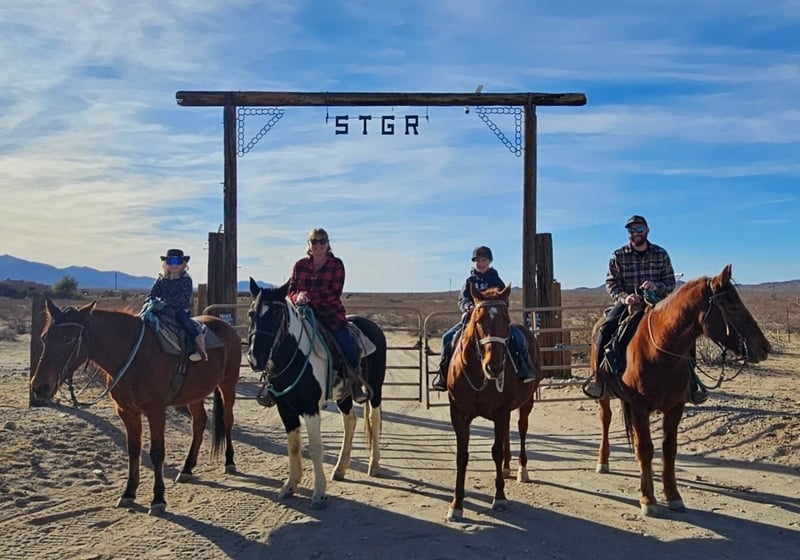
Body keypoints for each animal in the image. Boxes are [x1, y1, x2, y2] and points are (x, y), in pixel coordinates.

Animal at [29, 300, 242, 516]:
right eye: (44, 338)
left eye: (68, 338)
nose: (39, 386)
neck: (135, 357)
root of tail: (226, 327)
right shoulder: (127, 412)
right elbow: (133, 449)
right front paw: (129, 493)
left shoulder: (156, 412)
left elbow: (157, 452)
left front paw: (158, 499)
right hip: (195, 395)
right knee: (199, 423)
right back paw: (187, 469)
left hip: (228, 384)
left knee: (227, 419)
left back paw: (229, 462)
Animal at [248, 278, 390, 510]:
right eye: (252, 313)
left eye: (275, 315)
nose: (255, 359)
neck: (295, 356)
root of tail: (373, 327)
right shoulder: (285, 408)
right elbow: (293, 446)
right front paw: (290, 486)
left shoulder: (310, 407)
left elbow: (315, 448)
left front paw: (319, 494)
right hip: (345, 395)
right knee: (350, 421)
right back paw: (340, 469)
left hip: (376, 389)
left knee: (374, 419)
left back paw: (374, 465)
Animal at [446, 286, 540, 524]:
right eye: (478, 319)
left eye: (506, 320)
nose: (495, 367)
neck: (479, 373)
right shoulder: (459, 414)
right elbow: (462, 456)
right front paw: (456, 505)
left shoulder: (500, 412)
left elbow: (496, 451)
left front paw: (499, 498)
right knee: (507, 433)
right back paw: (506, 467)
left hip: (527, 403)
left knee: (521, 429)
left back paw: (521, 470)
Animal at [592, 264, 772, 516]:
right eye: (732, 306)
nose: (764, 348)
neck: (660, 352)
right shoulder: (639, 407)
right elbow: (645, 448)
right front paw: (648, 499)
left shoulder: (676, 406)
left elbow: (669, 449)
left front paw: (673, 495)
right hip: (605, 396)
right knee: (606, 420)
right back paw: (603, 461)